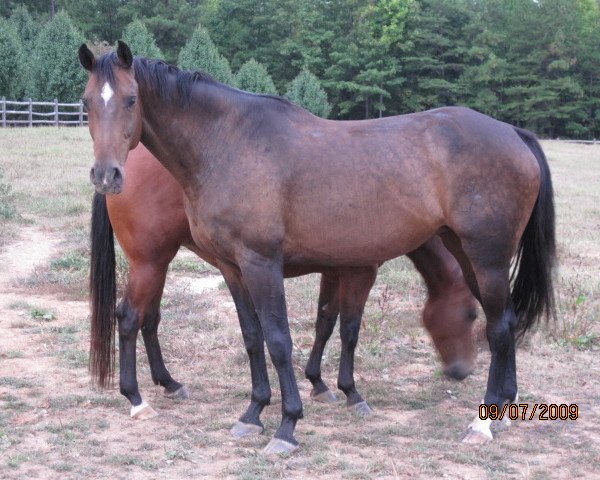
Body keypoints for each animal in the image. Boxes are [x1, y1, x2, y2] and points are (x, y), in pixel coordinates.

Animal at [90, 142, 478, 420]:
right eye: (472, 314)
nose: (462, 372)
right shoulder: (360, 271)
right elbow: (349, 330)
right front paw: (350, 392)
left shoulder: (333, 270)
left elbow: (325, 320)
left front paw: (318, 382)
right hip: (150, 263)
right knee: (129, 318)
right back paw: (136, 398)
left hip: (159, 263)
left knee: (149, 320)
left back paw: (169, 383)